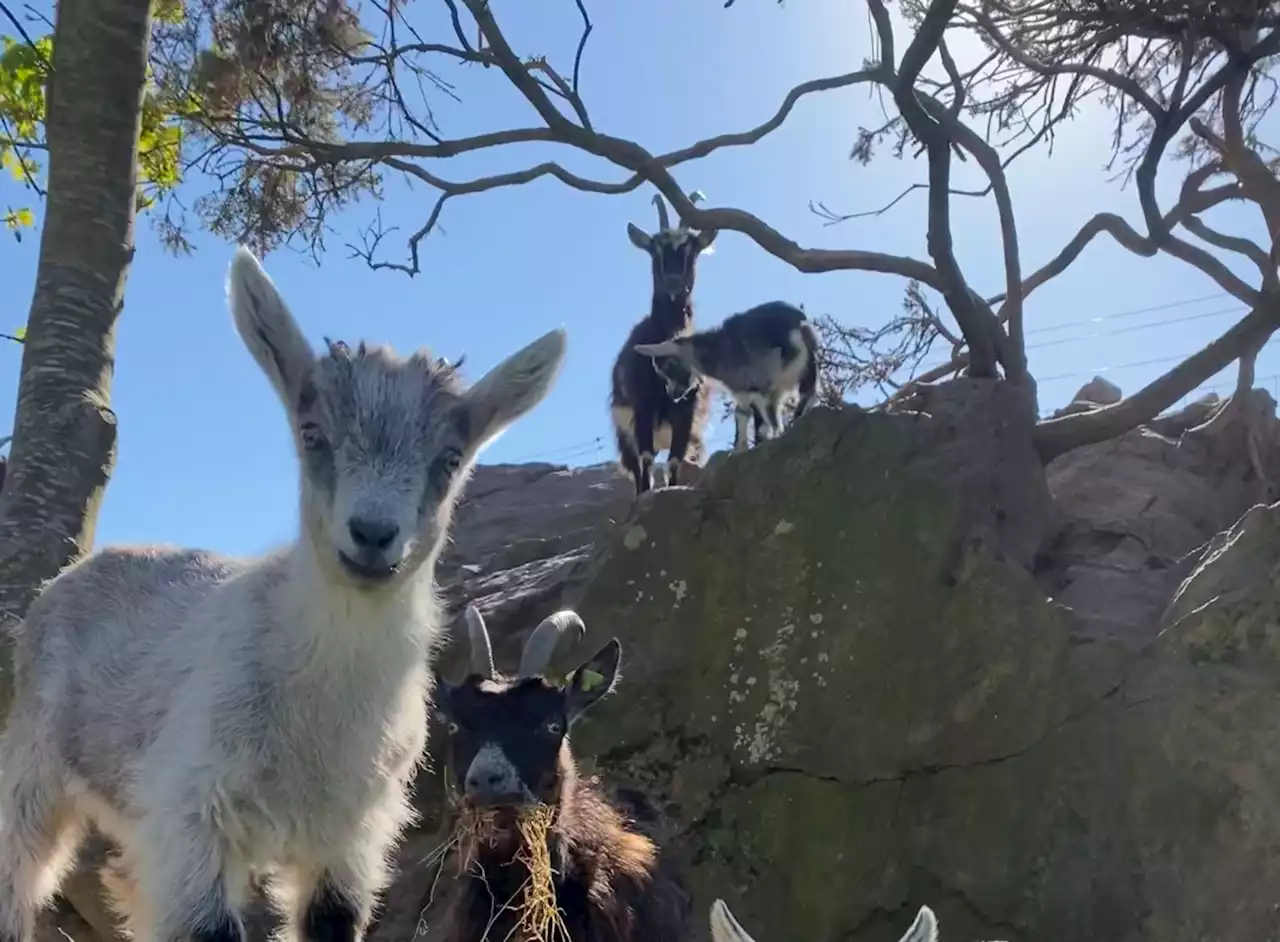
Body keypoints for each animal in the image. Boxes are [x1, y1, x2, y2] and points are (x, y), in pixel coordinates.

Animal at [0, 247, 565, 941]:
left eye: (451, 458)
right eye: (312, 433)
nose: (372, 534)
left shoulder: (350, 839)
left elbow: (330, 921)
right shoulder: (193, 813)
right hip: (36, 769)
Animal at [606, 191, 716, 494]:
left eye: (691, 250)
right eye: (655, 249)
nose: (674, 282)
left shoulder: (687, 412)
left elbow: (675, 461)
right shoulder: (642, 408)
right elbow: (645, 461)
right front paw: (645, 497)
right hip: (624, 430)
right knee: (636, 463)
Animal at [632, 299, 819, 450]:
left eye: (669, 367)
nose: (673, 395)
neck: (714, 349)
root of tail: (798, 327)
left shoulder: (748, 385)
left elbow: (750, 417)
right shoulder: (749, 392)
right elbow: (743, 414)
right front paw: (741, 448)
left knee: (773, 417)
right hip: (805, 370)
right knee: (807, 395)